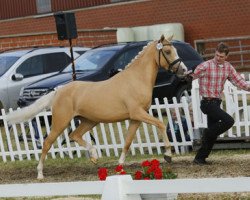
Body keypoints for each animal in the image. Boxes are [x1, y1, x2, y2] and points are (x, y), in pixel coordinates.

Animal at [4, 34, 187, 180]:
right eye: (168, 51)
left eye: (175, 50)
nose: (184, 70)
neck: (136, 79)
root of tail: (58, 91)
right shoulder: (138, 113)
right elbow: (161, 124)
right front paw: (168, 155)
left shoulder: (135, 118)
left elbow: (127, 142)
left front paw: (119, 167)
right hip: (61, 122)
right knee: (48, 142)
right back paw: (40, 173)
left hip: (89, 121)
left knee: (74, 135)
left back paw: (94, 156)